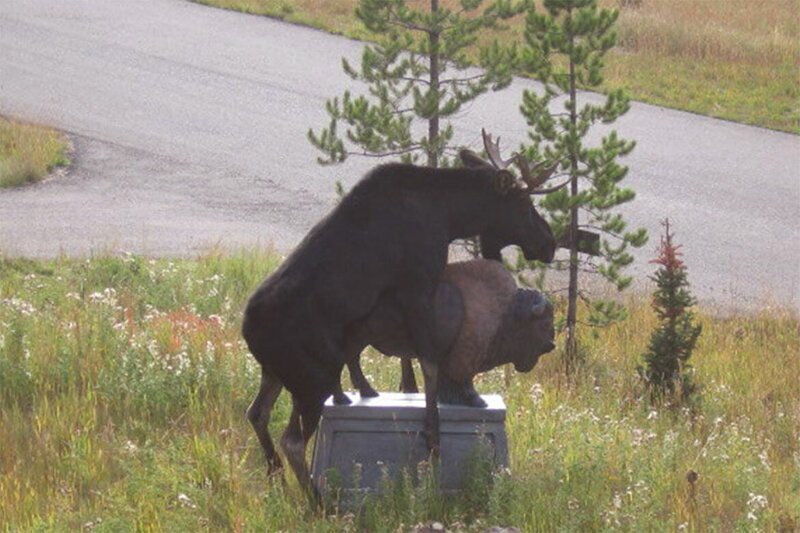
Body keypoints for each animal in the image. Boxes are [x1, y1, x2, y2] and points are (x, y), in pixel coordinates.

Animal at [242, 131, 564, 492]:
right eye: (524, 203)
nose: (549, 242)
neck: (450, 216)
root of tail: (247, 332)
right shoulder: (418, 284)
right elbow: (429, 363)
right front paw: (432, 435)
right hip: (313, 376)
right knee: (293, 441)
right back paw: (314, 497)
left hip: (276, 372)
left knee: (257, 413)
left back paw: (278, 480)